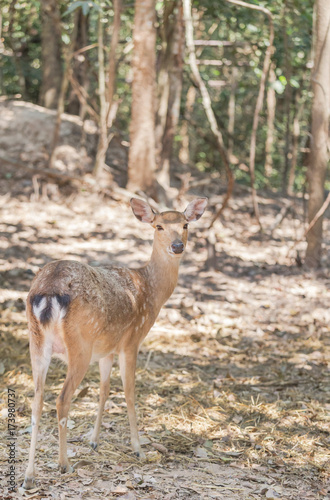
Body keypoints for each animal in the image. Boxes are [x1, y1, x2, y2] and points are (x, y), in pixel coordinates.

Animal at [23, 197, 208, 490]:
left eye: (185, 224)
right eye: (158, 226)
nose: (177, 246)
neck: (151, 292)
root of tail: (48, 293)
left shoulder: (106, 349)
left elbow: (104, 390)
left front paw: (93, 440)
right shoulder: (131, 340)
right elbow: (130, 392)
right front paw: (138, 449)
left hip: (36, 341)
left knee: (36, 400)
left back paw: (29, 476)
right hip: (79, 344)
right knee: (62, 399)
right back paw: (64, 464)